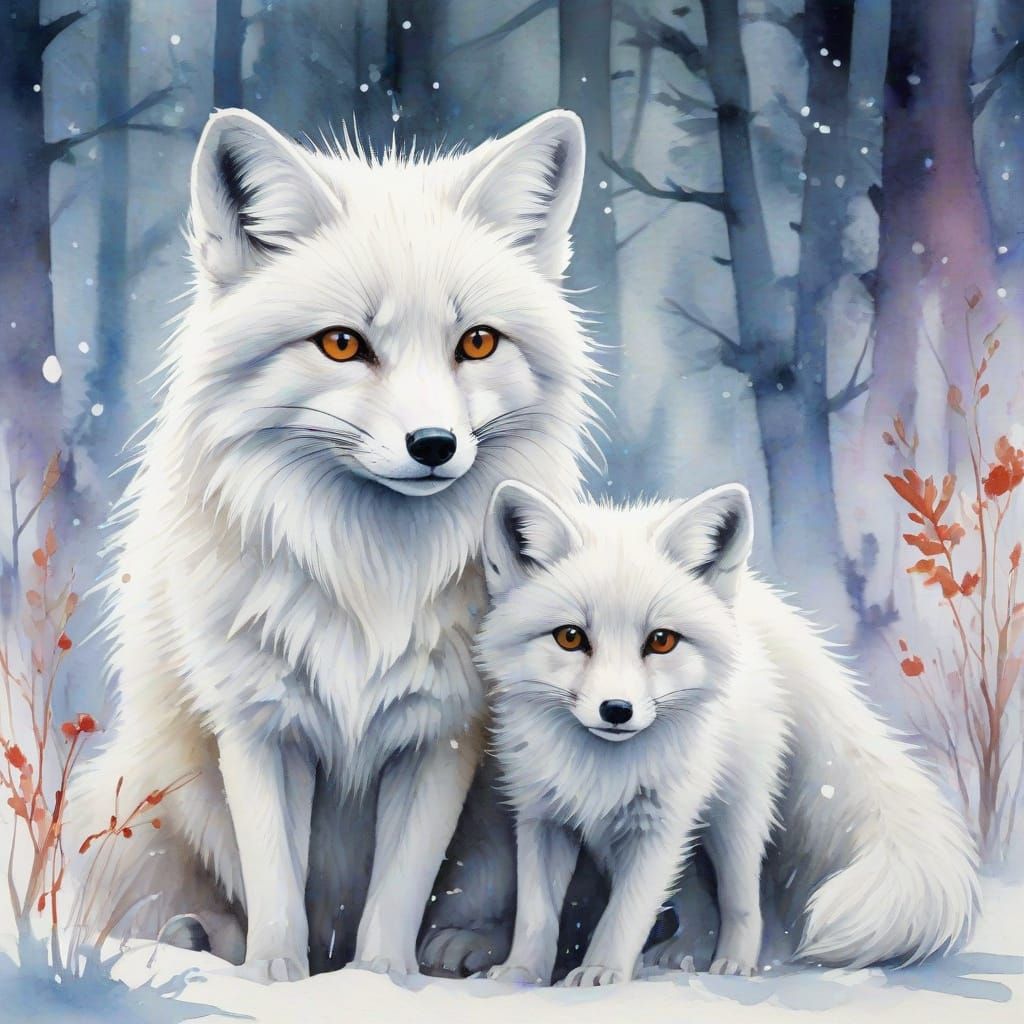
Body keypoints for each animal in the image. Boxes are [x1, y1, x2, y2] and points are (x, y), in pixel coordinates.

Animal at [70, 108, 599, 981]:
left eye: (478, 343)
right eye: (343, 344)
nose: (433, 445)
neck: (372, 576)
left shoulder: (442, 732)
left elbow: (398, 894)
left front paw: (380, 983)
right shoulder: (259, 724)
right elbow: (275, 886)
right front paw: (276, 981)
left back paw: (465, 950)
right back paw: (198, 937)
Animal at [477, 480, 980, 987]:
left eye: (661, 641)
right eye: (570, 637)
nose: (616, 710)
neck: (603, 766)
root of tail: (761, 612)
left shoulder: (660, 825)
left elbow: (623, 915)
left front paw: (600, 972)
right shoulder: (543, 818)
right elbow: (536, 915)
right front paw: (521, 974)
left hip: (733, 818)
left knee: (742, 901)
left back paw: (733, 964)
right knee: (698, 900)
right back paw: (681, 953)